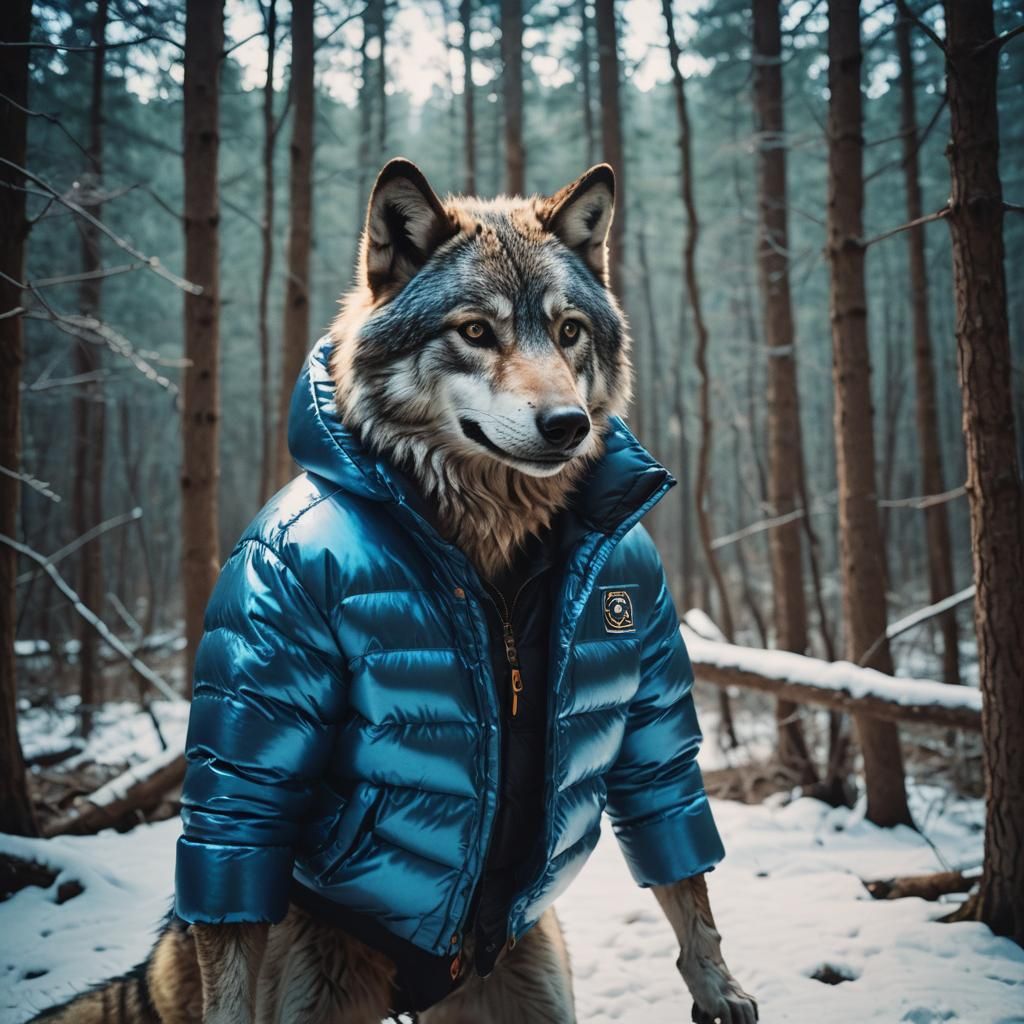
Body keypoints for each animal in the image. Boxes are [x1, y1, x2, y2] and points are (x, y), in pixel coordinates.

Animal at [32, 160, 756, 1024]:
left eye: (570, 331)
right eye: (475, 332)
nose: (568, 425)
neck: (485, 542)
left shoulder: (646, 667)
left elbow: (670, 825)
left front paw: (717, 985)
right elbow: (240, 805)